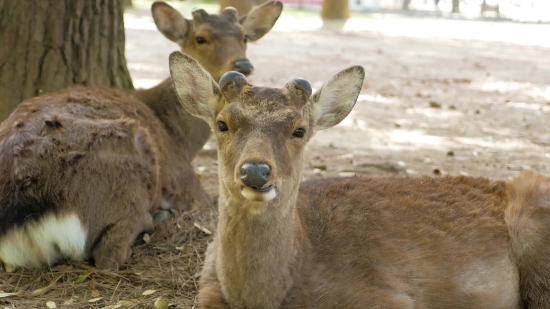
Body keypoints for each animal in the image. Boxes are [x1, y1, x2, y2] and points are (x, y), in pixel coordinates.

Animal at [0, 0, 284, 270]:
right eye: (200, 38)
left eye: (244, 36)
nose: (243, 65)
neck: (181, 140)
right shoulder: (187, 183)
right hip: (130, 162)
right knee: (109, 256)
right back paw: (154, 218)